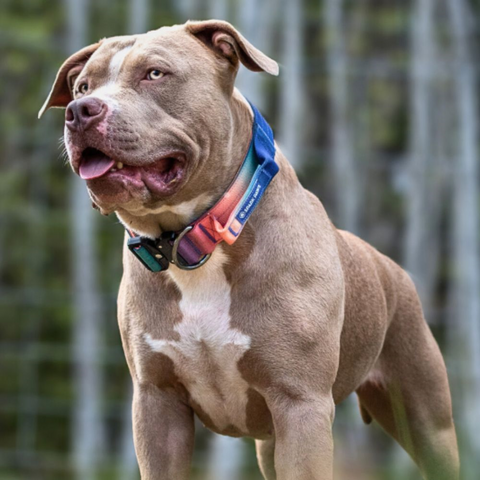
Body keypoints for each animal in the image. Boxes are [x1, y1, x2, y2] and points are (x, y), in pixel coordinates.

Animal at [39, 19, 460, 480]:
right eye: (82, 86)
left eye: (154, 74)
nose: (80, 110)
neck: (195, 245)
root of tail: (391, 268)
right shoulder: (156, 403)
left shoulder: (301, 406)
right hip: (270, 443)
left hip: (428, 419)